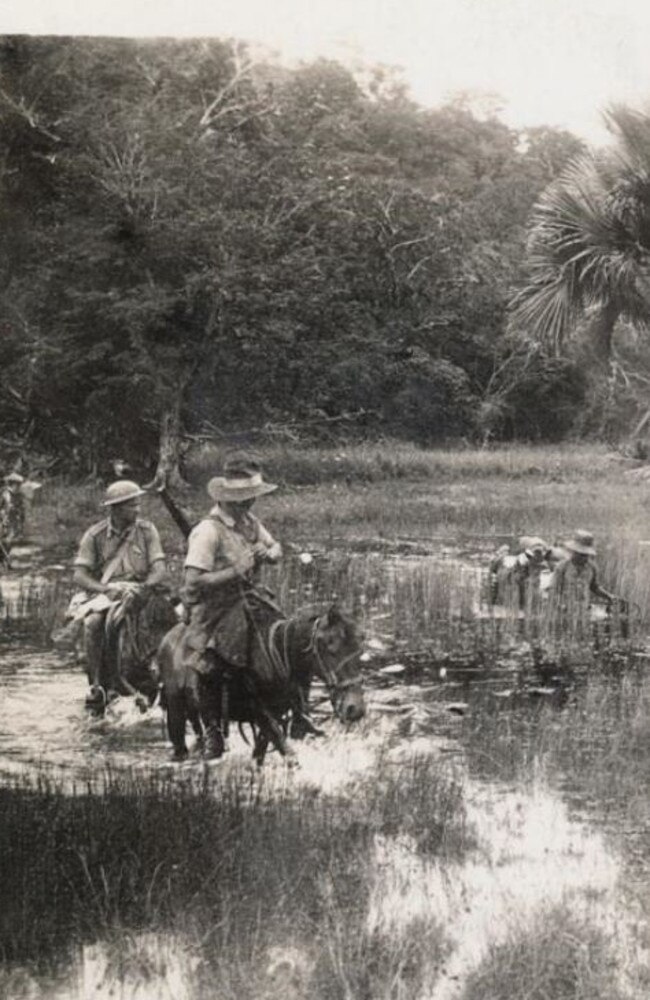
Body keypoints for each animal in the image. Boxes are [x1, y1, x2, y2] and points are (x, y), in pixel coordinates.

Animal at [154, 600, 362, 764]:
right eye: (331, 648)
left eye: (358, 647)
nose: (354, 708)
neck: (272, 655)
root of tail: (168, 638)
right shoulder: (260, 714)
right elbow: (287, 753)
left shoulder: (273, 717)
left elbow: (261, 754)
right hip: (175, 704)